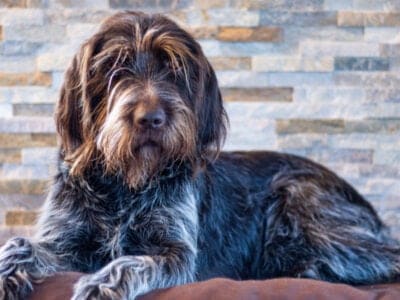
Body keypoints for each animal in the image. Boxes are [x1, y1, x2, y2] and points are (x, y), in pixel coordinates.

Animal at [0, 9, 400, 300]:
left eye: (175, 70)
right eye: (115, 67)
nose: (151, 118)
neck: (126, 182)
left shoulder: (176, 254)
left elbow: (133, 262)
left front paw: (102, 285)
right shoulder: (67, 242)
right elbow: (23, 243)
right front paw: (8, 271)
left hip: (300, 202)